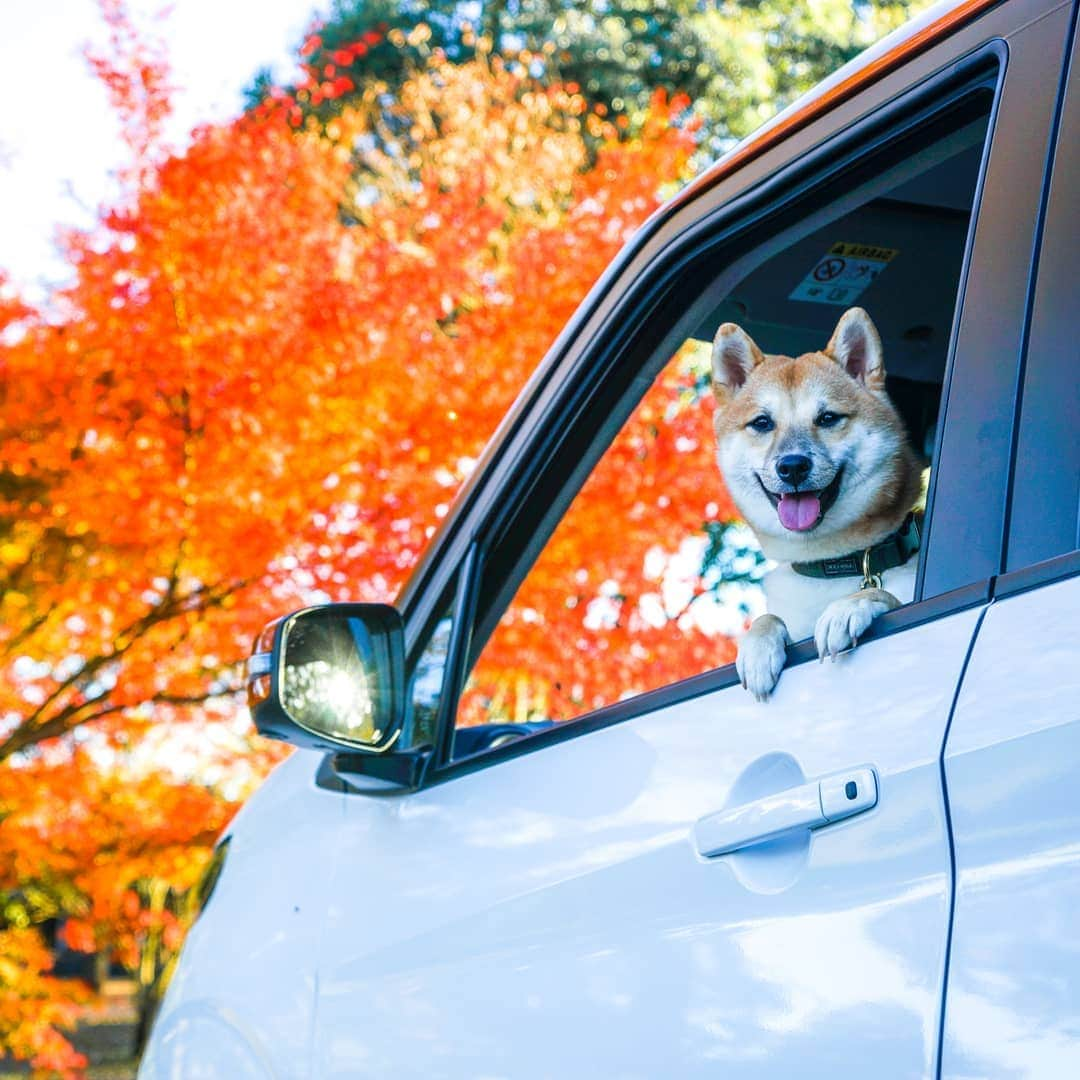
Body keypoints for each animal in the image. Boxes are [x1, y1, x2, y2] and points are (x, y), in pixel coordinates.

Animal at [712, 308, 924, 704]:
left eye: (827, 418)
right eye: (762, 423)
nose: (793, 465)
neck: (832, 564)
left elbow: (880, 592)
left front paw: (848, 606)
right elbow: (768, 619)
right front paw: (756, 648)